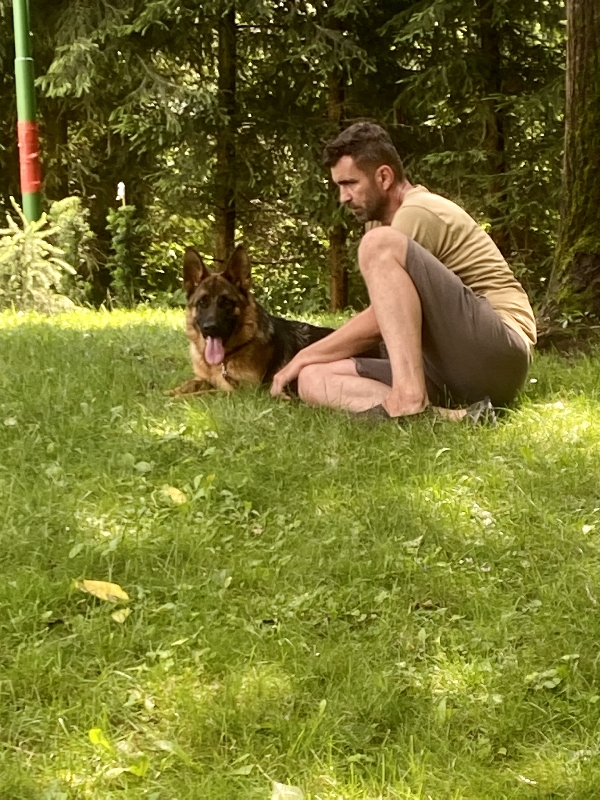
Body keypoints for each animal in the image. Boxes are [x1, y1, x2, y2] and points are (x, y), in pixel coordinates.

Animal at [169, 244, 335, 395]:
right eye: (202, 302)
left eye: (226, 303)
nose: (210, 327)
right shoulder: (203, 379)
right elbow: (190, 384)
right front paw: (171, 392)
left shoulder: (242, 392)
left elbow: (206, 393)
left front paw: (175, 399)